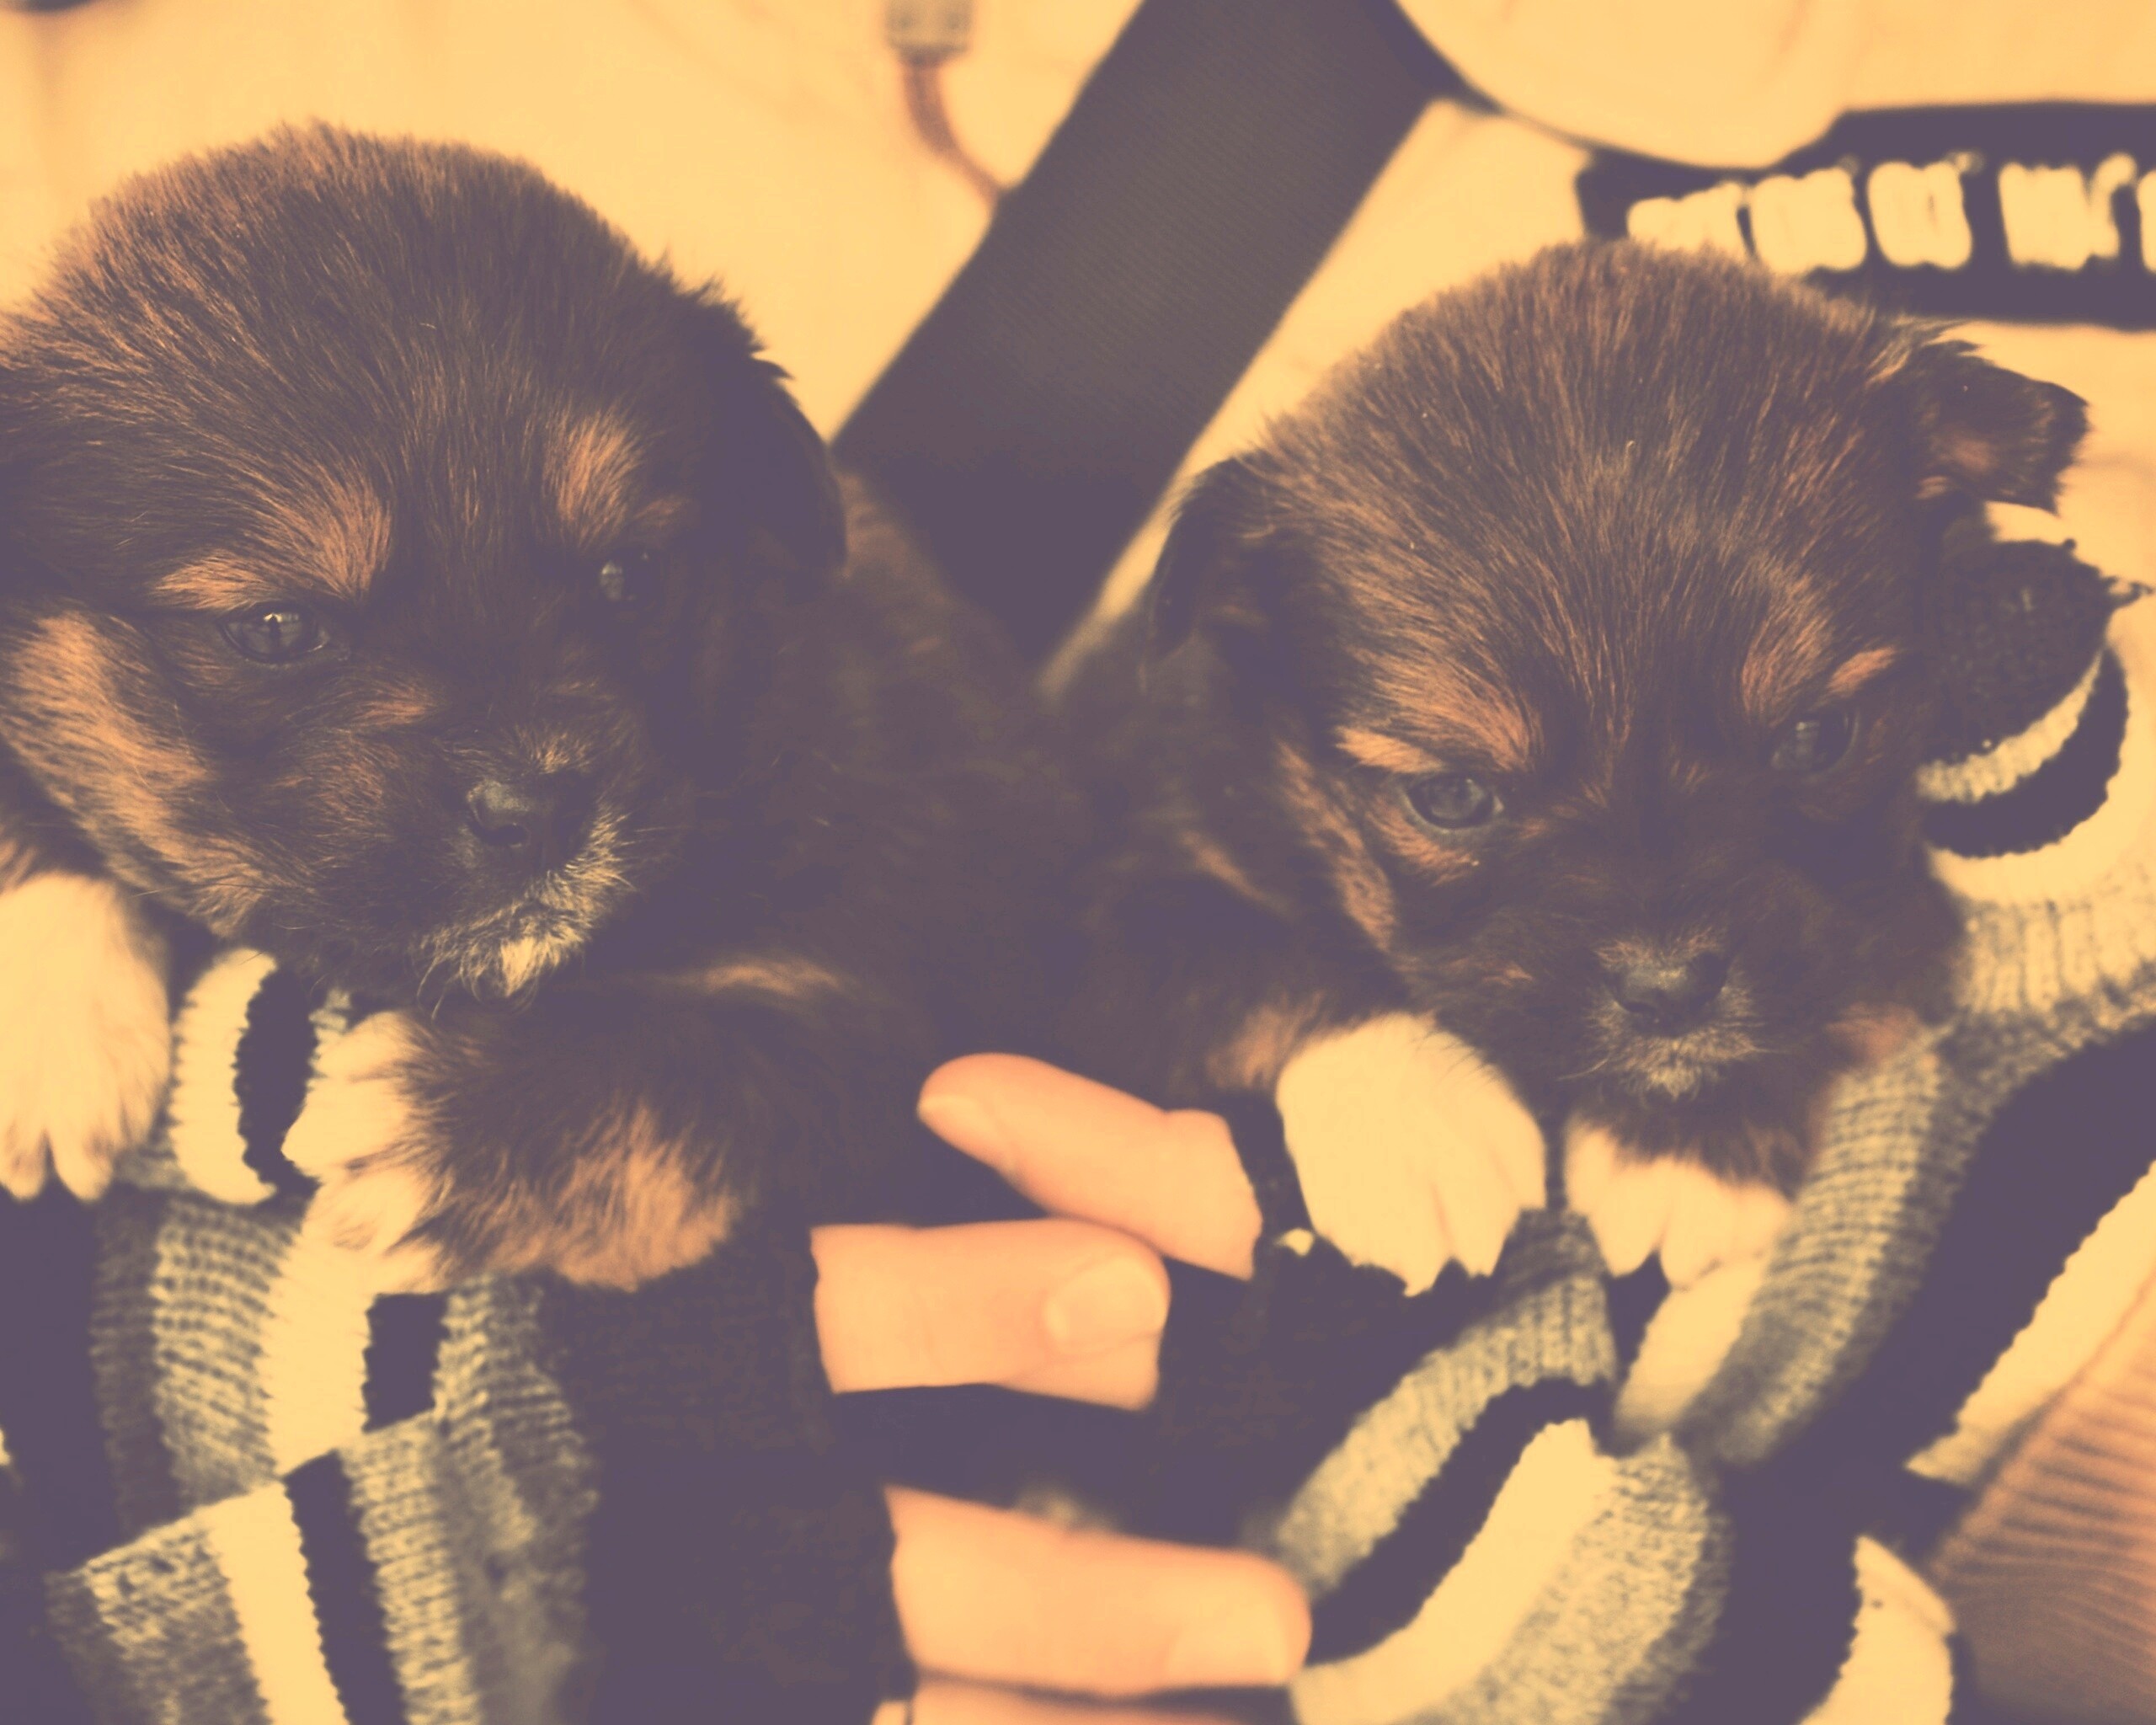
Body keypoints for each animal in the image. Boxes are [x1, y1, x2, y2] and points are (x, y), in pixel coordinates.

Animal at [0, 126, 1078, 1288]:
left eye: (628, 574)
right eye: (277, 629)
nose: (542, 809)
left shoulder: (903, 1011)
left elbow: (731, 1064)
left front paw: (452, 1128)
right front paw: (53, 1010)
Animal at [1062, 241, 2085, 1293]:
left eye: (1816, 736)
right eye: (1451, 795)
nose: (1670, 988)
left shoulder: (1879, 902)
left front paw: (1690, 1144)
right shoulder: (1119, 881)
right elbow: (1245, 957)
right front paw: (1418, 1129)